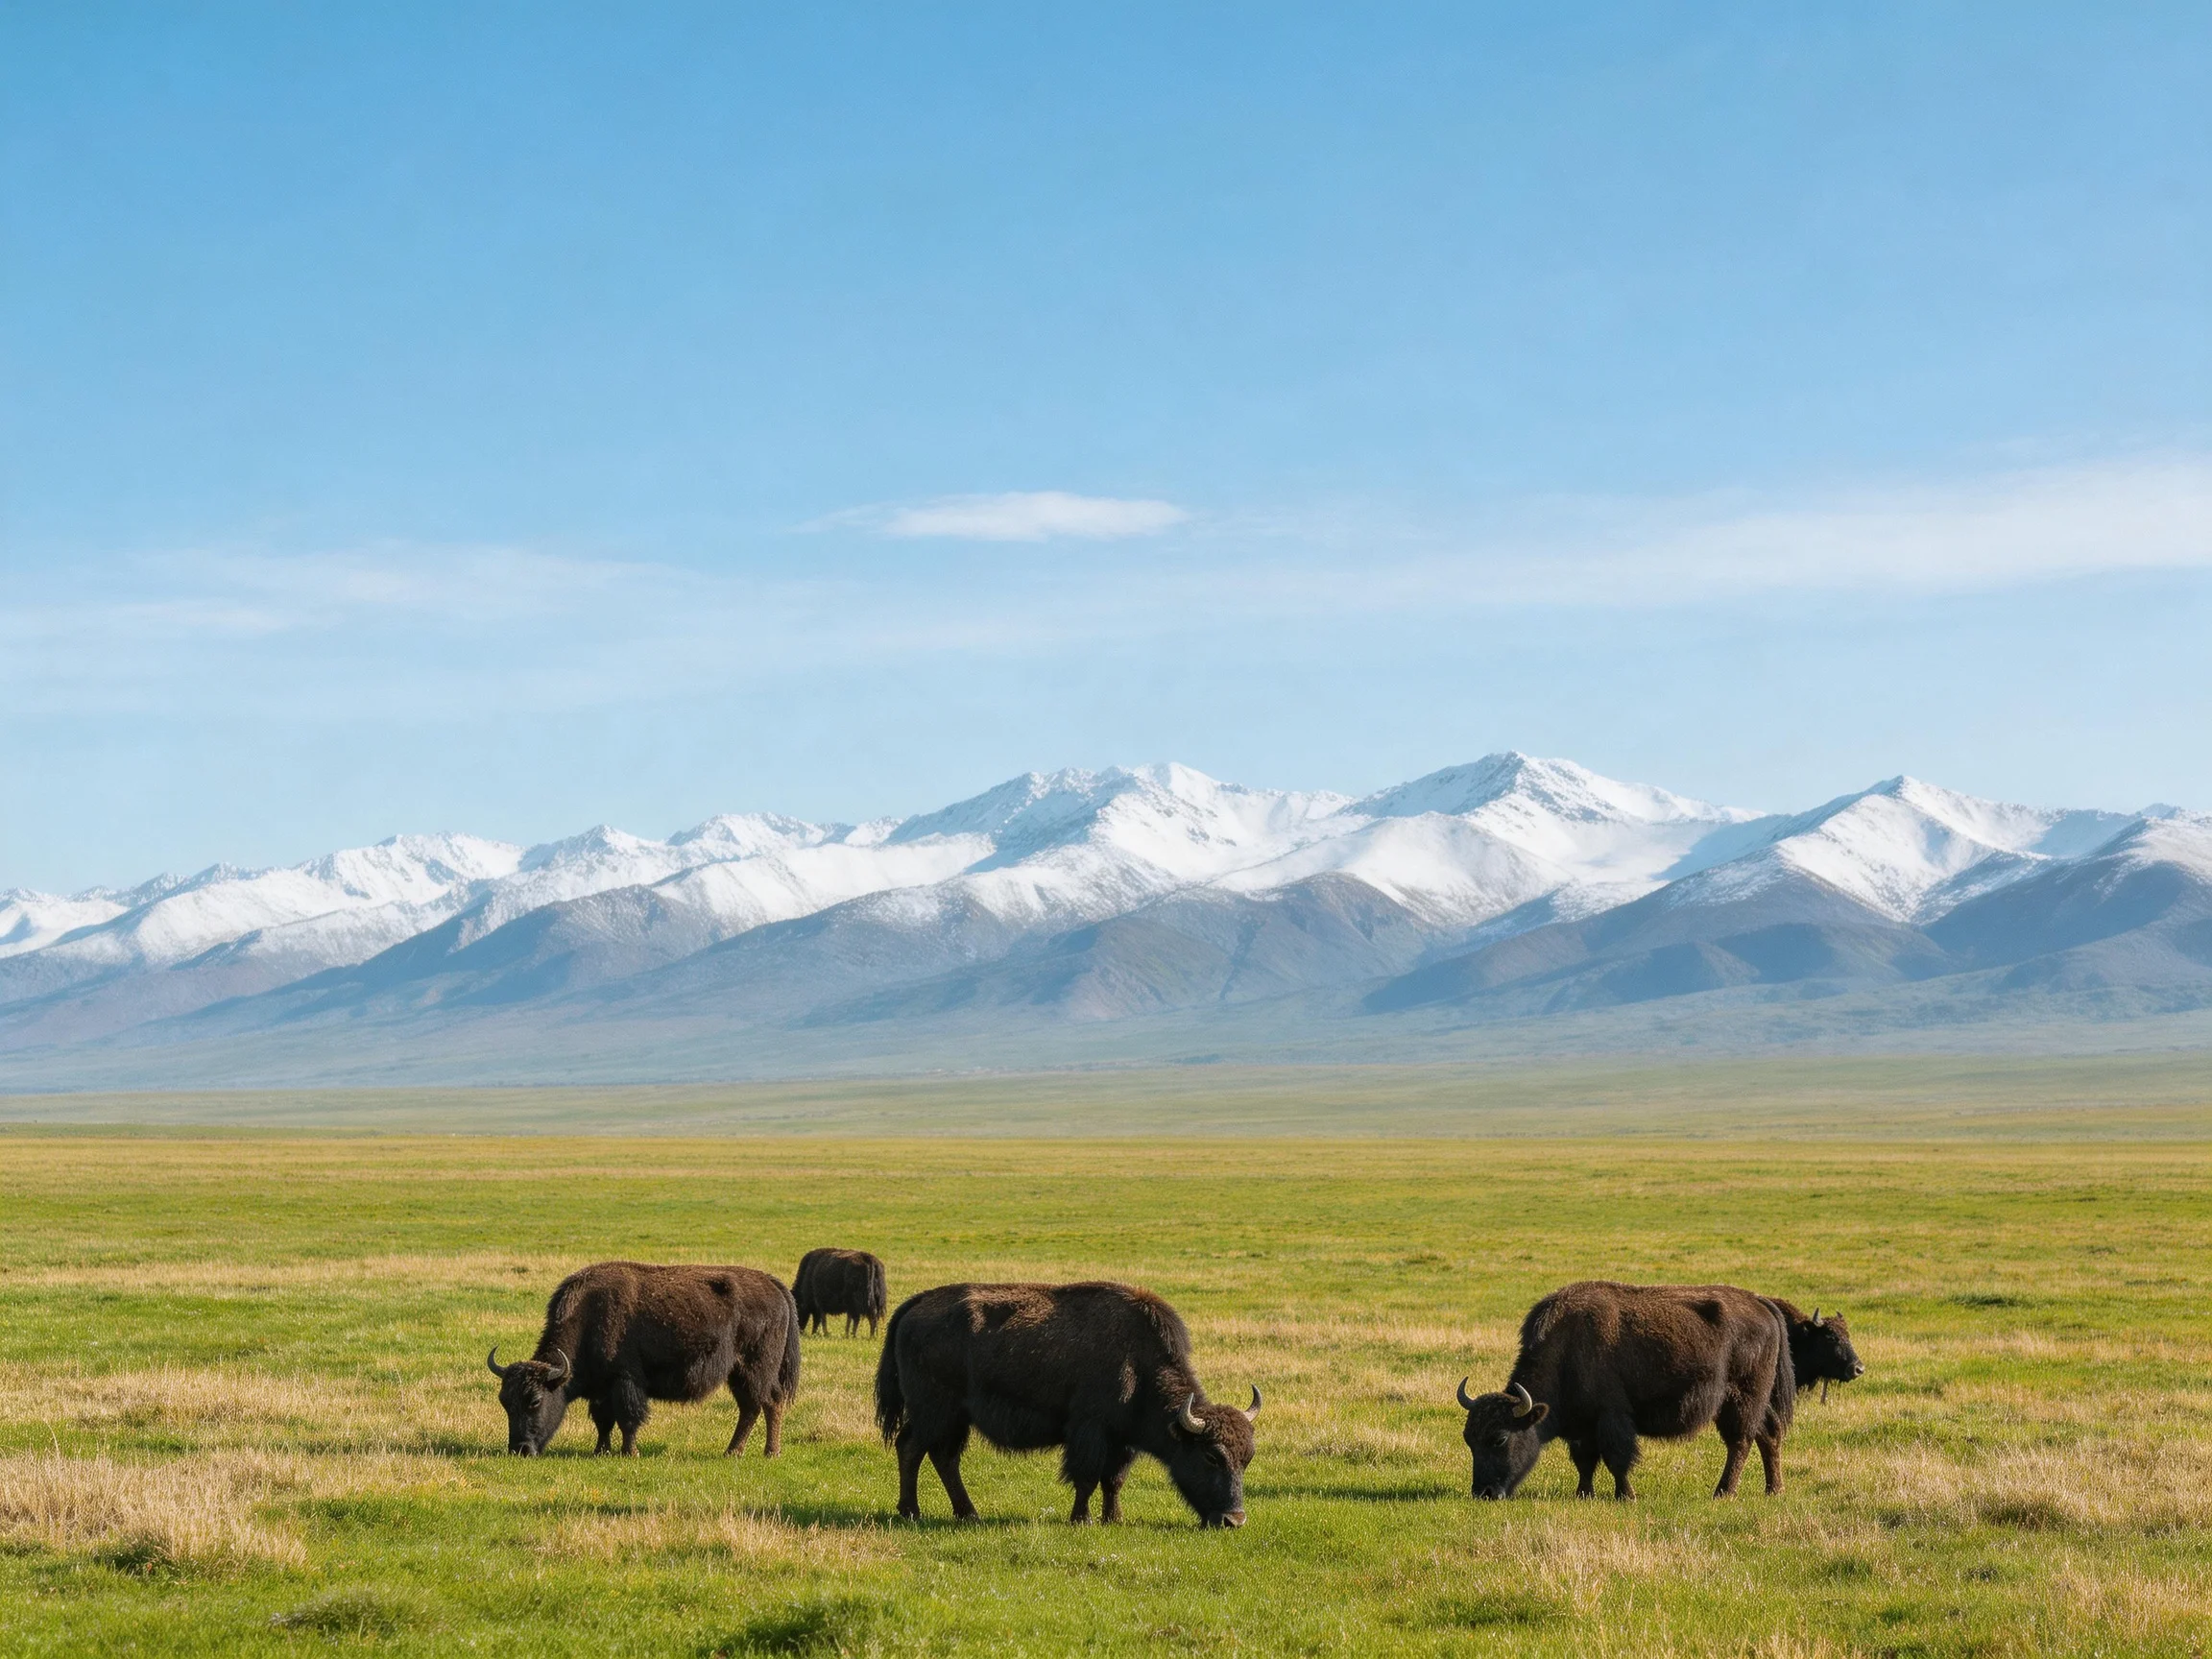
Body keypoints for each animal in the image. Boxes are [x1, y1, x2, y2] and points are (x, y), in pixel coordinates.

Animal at [486, 1261, 800, 1458]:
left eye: (535, 1401)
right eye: (505, 1402)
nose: (520, 1449)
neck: (589, 1316)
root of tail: (774, 1285)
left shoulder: (625, 1381)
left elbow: (628, 1418)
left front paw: (630, 1452)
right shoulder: (602, 1389)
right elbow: (603, 1420)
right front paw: (601, 1450)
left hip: (755, 1369)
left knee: (767, 1403)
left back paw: (762, 1452)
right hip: (738, 1374)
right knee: (752, 1407)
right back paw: (738, 1451)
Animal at [874, 1281, 1260, 1527]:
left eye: (1247, 1458)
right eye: (1210, 1456)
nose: (1234, 1520)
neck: (1138, 1363)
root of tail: (916, 1304)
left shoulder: (1122, 1442)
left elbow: (1113, 1480)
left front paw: (1113, 1519)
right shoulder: (1090, 1432)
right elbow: (1087, 1476)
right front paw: (1082, 1520)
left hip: (955, 1420)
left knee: (944, 1458)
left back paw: (968, 1513)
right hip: (935, 1412)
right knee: (912, 1448)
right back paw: (911, 1511)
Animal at [1458, 1280, 1847, 1500]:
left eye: (1500, 1438)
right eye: (1469, 1440)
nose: (1484, 1493)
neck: (1567, 1347)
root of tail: (1762, 1305)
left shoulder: (1612, 1417)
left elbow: (1617, 1458)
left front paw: (1625, 1496)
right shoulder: (1584, 1426)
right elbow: (1585, 1460)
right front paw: (1584, 1494)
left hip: (1739, 1399)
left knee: (1741, 1442)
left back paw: (1723, 1493)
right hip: (1756, 1401)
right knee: (1769, 1436)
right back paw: (1772, 1490)